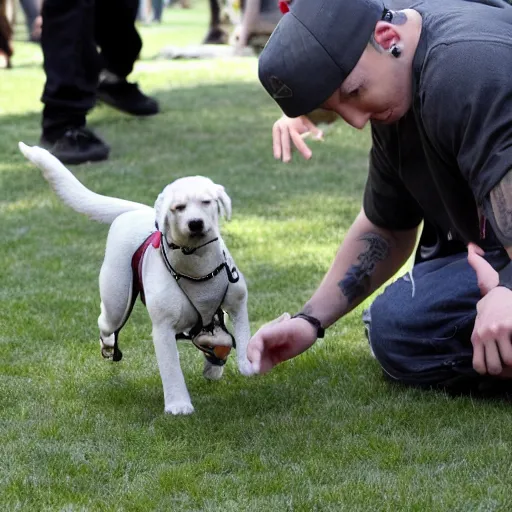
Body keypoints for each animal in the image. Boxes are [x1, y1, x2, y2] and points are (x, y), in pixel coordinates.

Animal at [19, 142, 255, 414]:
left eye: (206, 201)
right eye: (178, 208)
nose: (195, 223)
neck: (196, 265)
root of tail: (137, 211)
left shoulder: (236, 303)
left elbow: (237, 335)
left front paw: (240, 363)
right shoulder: (163, 329)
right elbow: (171, 369)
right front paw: (178, 404)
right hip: (116, 299)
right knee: (106, 321)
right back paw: (108, 343)